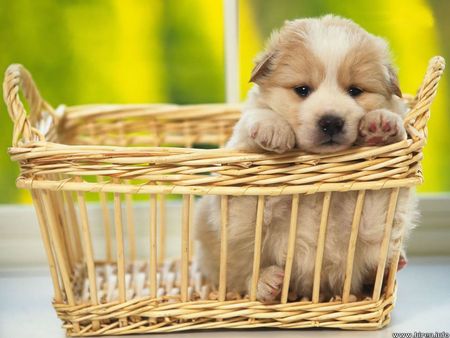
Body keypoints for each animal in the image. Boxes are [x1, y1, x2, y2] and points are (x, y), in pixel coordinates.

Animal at [195, 15, 416, 302]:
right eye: (302, 90)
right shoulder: (240, 216)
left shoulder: (368, 221)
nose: (331, 121)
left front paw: (382, 124)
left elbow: (379, 205)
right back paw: (270, 283)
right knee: (242, 276)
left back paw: (393, 263)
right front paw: (272, 129)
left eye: (355, 91)